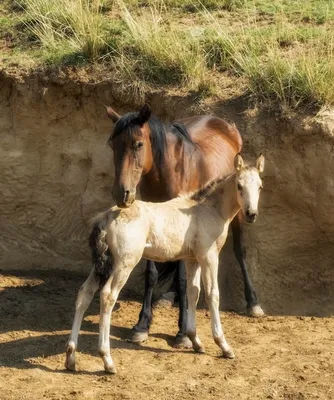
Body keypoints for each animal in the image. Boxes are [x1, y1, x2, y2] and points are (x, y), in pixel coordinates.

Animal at [64, 154, 264, 376]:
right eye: (239, 186)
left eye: (260, 187)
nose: (251, 214)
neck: (208, 209)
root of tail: (105, 218)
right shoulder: (209, 256)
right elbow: (213, 294)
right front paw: (224, 345)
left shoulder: (192, 259)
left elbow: (193, 293)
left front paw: (195, 341)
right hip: (125, 262)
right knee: (108, 295)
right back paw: (107, 360)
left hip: (103, 264)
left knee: (84, 293)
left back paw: (71, 357)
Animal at [106, 104, 264, 346]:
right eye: (112, 144)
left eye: (138, 144)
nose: (121, 193)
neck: (169, 170)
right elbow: (153, 274)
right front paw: (142, 325)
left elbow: (183, 279)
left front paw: (182, 332)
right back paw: (170, 297)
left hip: (238, 215)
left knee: (239, 251)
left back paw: (252, 302)